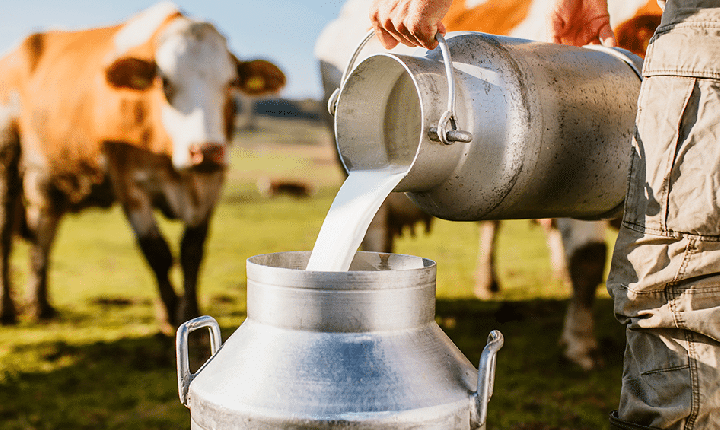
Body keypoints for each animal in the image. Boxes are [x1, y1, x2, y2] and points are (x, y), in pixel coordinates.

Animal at [0, 1, 286, 330]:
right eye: (165, 82)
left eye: (231, 83)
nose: (205, 151)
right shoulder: (129, 183)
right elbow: (157, 251)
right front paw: (171, 316)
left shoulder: (211, 183)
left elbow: (192, 251)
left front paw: (190, 313)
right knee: (6, 232)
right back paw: (7, 309)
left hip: (50, 179)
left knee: (44, 234)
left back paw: (41, 304)